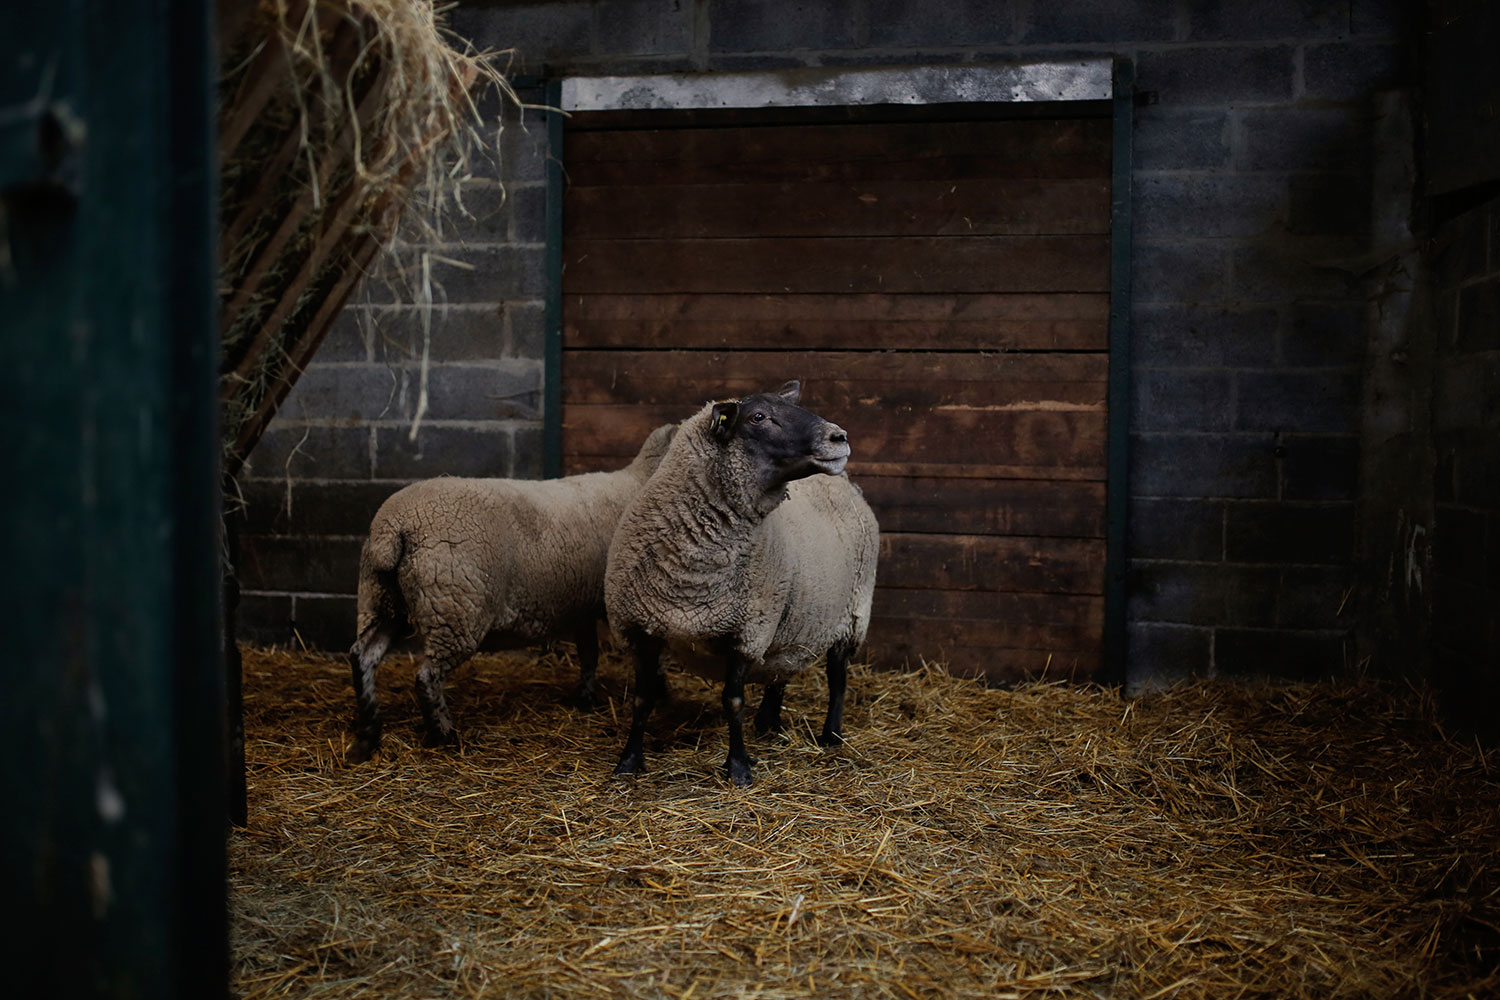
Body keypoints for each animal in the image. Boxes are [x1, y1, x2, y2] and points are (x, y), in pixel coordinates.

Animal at [343, 419, 678, 758]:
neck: (640, 480)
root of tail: (394, 528)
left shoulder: (582, 603)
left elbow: (589, 654)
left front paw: (585, 698)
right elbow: (644, 652)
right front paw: (658, 687)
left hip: (381, 600)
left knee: (363, 656)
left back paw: (369, 732)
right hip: (455, 607)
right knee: (427, 677)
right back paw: (443, 735)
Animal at [600, 383, 876, 791]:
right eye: (758, 417)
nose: (838, 437)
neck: (692, 575)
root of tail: (845, 483)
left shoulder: (746, 631)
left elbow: (733, 701)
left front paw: (738, 768)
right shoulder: (640, 627)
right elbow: (642, 698)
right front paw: (628, 762)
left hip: (852, 615)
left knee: (838, 679)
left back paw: (831, 735)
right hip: (795, 617)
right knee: (782, 667)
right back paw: (769, 723)